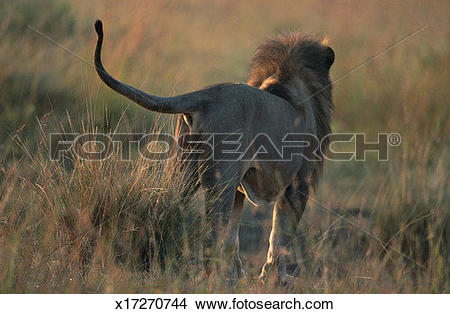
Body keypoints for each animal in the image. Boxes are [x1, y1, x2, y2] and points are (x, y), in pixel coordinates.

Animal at [93, 20, 334, 284]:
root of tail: (206, 95)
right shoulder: (298, 185)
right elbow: (280, 234)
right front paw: (275, 278)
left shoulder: (241, 185)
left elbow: (233, 236)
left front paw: (237, 274)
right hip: (221, 179)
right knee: (210, 232)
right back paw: (211, 278)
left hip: (183, 169)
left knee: (165, 207)